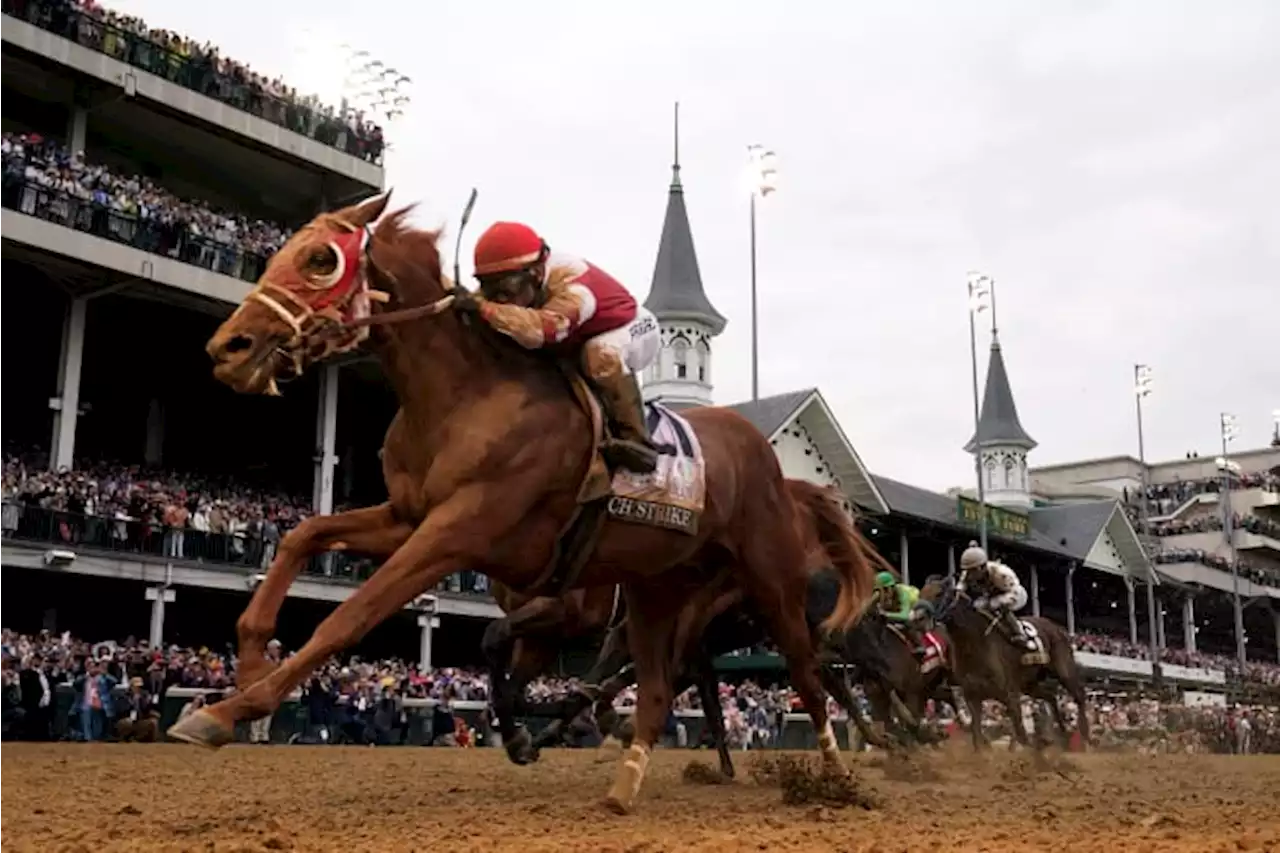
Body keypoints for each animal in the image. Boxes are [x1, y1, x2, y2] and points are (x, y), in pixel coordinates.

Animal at [167, 194, 880, 809]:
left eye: (321, 258)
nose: (227, 348)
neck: (466, 397)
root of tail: (770, 459)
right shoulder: (409, 518)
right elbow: (303, 534)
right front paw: (249, 660)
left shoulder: (457, 534)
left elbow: (353, 615)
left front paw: (227, 710)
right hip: (657, 592)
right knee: (659, 688)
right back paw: (625, 781)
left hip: (771, 584)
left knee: (810, 676)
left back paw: (840, 775)